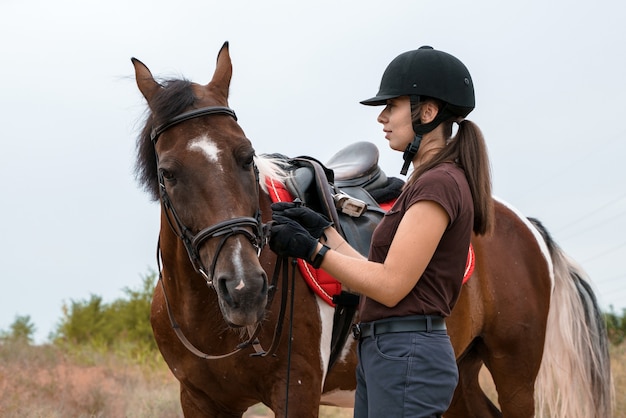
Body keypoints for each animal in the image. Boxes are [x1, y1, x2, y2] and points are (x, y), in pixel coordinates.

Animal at [132, 40, 608, 416]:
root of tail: (522, 223)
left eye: (246, 156)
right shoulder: (200, 400)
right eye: (168, 172)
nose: (245, 288)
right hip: (460, 373)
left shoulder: (296, 391)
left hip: (515, 373)